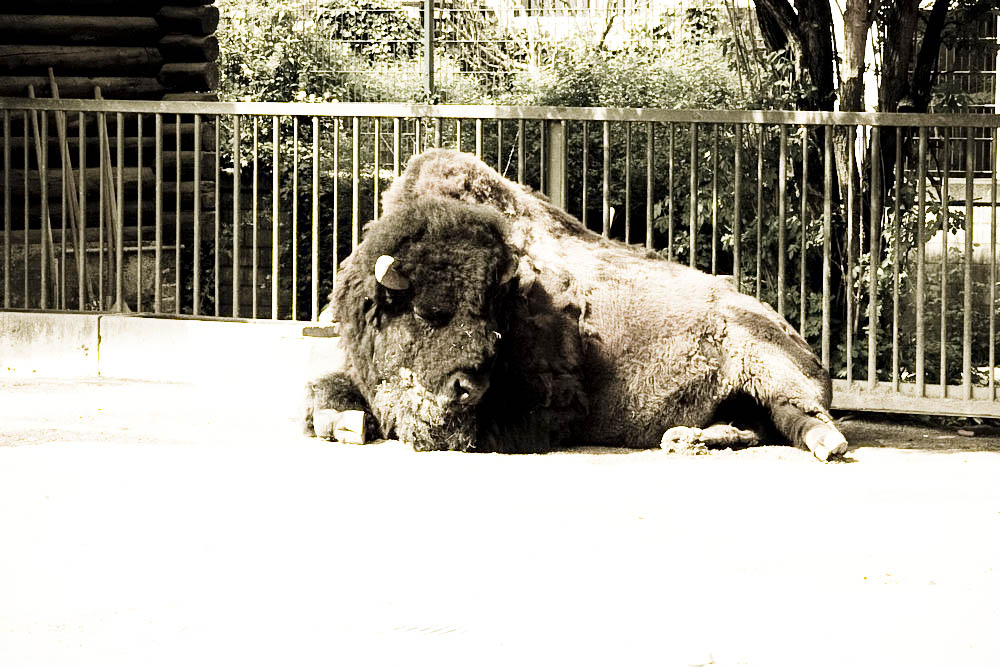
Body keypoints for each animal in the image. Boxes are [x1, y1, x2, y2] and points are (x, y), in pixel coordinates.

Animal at [305, 148, 848, 461]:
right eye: (425, 312)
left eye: (488, 315)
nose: (467, 388)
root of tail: (800, 339)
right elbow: (323, 392)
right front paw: (345, 421)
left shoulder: (551, 399)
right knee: (757, 427)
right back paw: (684, 439)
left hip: (769, 366)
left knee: (807, 421)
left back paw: (824, 446)